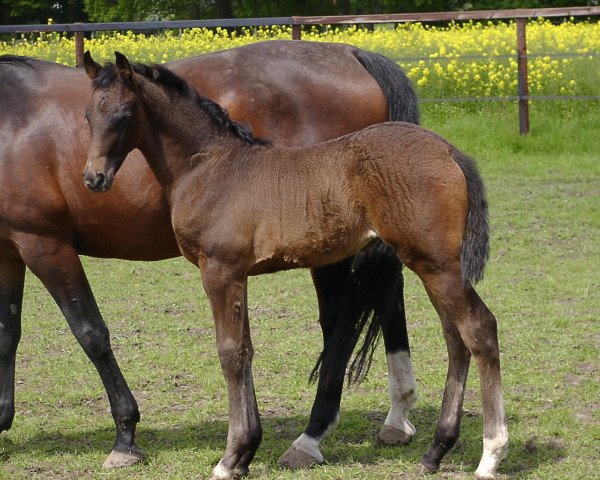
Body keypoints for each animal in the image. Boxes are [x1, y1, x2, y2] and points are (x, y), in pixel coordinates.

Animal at [0, 41, 418, 468]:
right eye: (87, 116)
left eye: (124, 116)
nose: (94, 178)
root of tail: (353, 54)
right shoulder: (8, 251)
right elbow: (7, 332)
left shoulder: (44, 242)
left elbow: (92, 333)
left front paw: (127, 438)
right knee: (386, 299)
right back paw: (395, 419)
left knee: (342, 322)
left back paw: (312, 436)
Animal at [82, 52, 508, 480]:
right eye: (87, 115)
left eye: (123, 114)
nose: (93, 178)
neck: (210, 167)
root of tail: (448, 151)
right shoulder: (238, 274)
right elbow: (246, 350)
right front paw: (245, 453)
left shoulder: (220, 270)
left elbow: (230, 353)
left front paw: (230, 458)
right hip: (436, 266)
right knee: (456, 338)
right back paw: (435, 451)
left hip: (435, 263)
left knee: (478, 328)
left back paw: (490, 453)